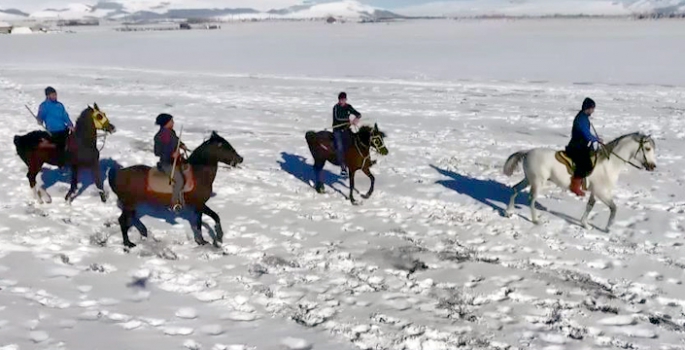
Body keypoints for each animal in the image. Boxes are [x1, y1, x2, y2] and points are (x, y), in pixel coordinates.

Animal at [107, 131, 243, 249]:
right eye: (224, 147)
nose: (241, 159)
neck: (198, 174)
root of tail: (119, 174)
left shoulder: (198, 206)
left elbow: (203, 221)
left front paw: (204, 240)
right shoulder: (200, 204)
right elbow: (212, 218)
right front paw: (216, 238)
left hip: (132, 204)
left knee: (131, 218)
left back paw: (143, 232)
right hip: (130, 204)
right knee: (123, 221)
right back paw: (128, 243)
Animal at [502, 133, 656, 231]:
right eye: (647, 148)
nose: (653, 166)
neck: (609, 164)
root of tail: (527, 152)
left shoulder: (594, 192)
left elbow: (590, 206)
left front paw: (585, 225)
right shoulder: (601, 192)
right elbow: (613, 208)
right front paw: (607, 228)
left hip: (528, 179)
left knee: (514, 189)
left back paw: (508, 212)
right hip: (537, 182)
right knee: (531, 199)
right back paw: (535, 220)